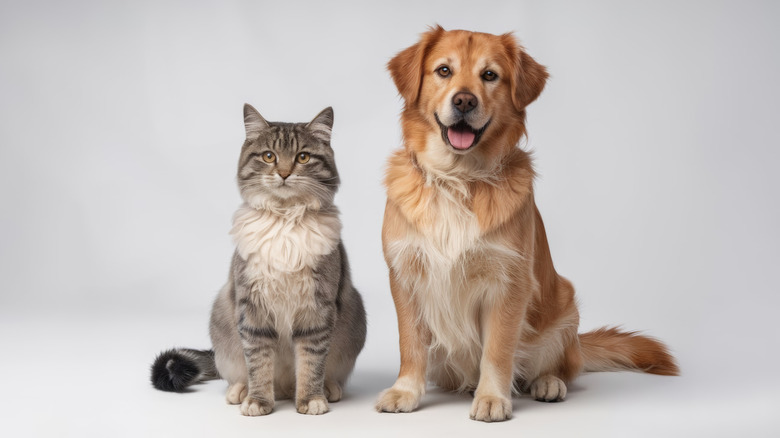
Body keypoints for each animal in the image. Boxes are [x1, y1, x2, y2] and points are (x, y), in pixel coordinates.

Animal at [151, 104, 368, 416]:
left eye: (302, 157)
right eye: (269, 156)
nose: (284, 173)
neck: (285, 220)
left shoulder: (317, 309)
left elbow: (311, 364)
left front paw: (311, 399)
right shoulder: (253, 308)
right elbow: (259, 364)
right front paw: (258, 401)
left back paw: (327, 390)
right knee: (240, 373)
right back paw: (240, 392)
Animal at [374, 26, 680, 420]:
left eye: (490, 75)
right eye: (444, 70)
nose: (464, 101)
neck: (458, 178)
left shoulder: (509, 281)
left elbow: (498, 349)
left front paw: (492, 397)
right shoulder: (405, 276)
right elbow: (410, 344)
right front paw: (406, 391)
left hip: (565, 311)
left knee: (560, 367)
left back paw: (547, 383)